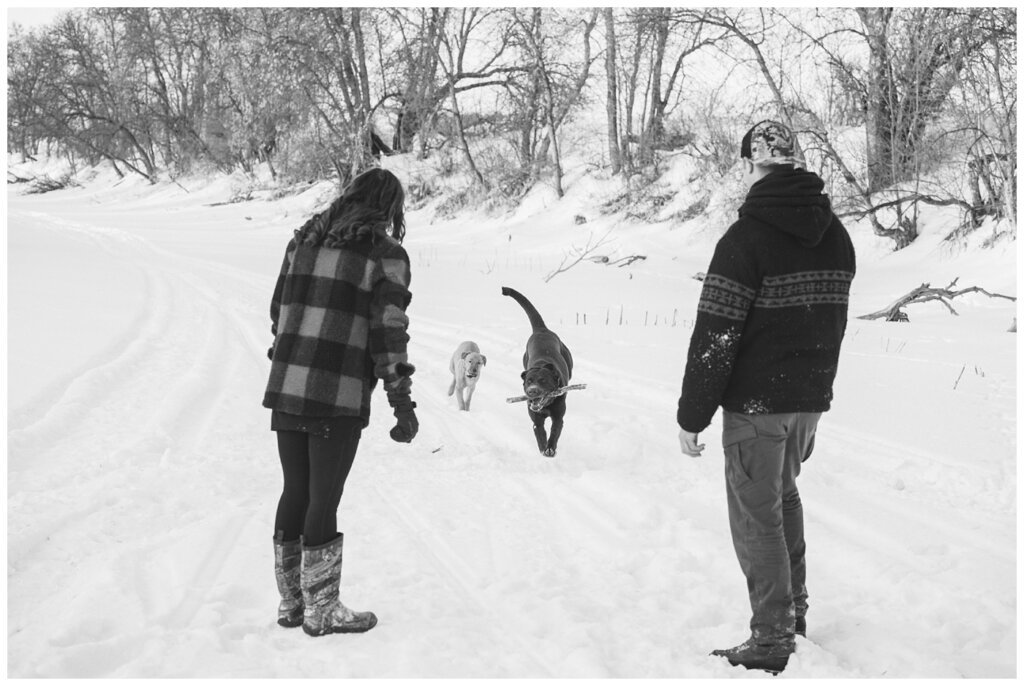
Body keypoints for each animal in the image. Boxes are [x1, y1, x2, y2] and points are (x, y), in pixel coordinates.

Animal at [503, 286, 577, 458]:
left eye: (543, 381)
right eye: (528, 381)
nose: (532, 391)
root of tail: (542, 329)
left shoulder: (558, 417)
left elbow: (555, 431)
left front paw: (550, 449)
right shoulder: (535, 418)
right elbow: (540, 432)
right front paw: (544, 448)